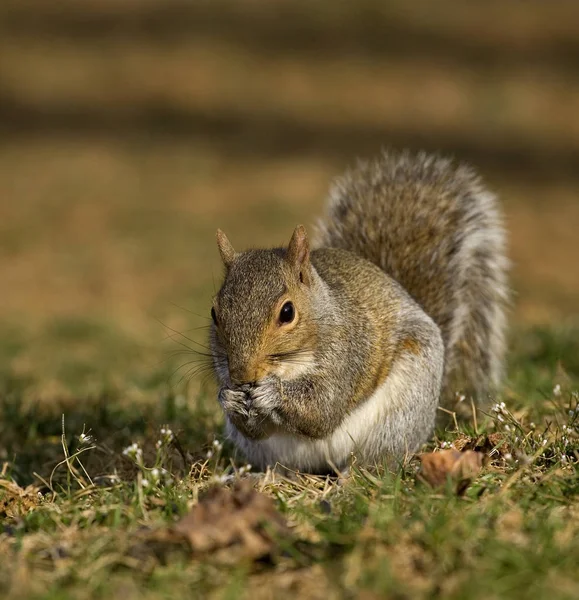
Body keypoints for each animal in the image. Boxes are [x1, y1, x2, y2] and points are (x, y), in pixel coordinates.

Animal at [208, 150, 508, 474]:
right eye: (214, 312)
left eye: (287, 312)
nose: (242, 375)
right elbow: (254, 429)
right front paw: (228, 397)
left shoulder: (348, 355)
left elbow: (321, 410)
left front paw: (272, 393)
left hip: (399, 417)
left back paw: (351, 478)